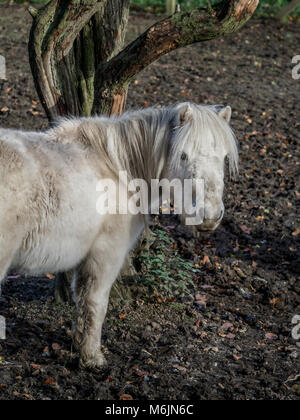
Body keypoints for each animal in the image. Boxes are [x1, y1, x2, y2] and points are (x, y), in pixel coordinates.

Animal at [0, 103, 239, 370]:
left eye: (225, 158)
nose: (209, 216)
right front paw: (92, 357)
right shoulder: (106, 255)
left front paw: (79, 345)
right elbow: (95, 302)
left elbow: (82, 299)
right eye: (183, 155)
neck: (117, 170)